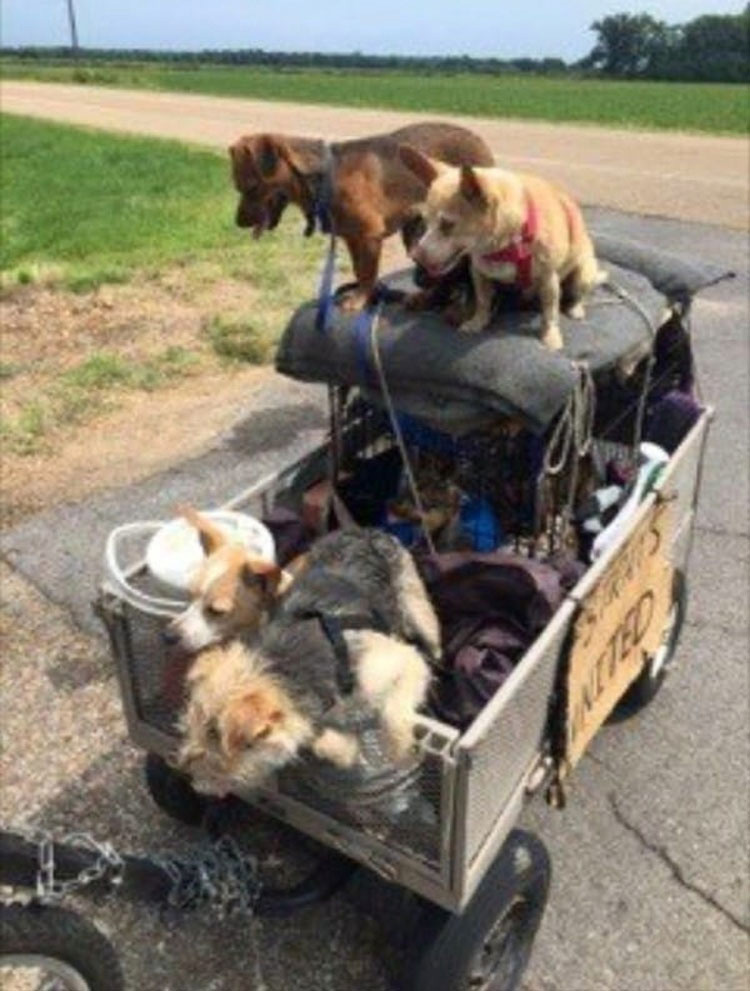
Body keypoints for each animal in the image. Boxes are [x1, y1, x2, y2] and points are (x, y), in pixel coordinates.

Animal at [178, 528, 440, 800]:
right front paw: (340, 748)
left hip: (418, 607)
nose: (184, 774)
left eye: (217, 737)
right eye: (190, 724)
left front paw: (400, 750)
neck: (285, 667)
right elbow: (324, 741)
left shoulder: (402, 660)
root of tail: (360, 530)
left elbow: (394, 713)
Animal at [232, 123, 496, 310]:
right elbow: (359, 270)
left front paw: (360, 299)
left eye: (251, 187)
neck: (325, 177)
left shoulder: (369, 236)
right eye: (239, 188)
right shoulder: (352, 237)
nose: (238, 223)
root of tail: (479, 140)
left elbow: (368, 273)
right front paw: (363, 293)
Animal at [400, 145, 604, 350]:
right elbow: (482, 301)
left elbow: (549, 312)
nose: (416, 255)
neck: (504, 245)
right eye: (425, 223)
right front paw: (477, 323)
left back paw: (576, 309)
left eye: (447, 225)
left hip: (583, 275)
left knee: (577, 295)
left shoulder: (548, 280)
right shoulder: (479, 274)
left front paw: (550, 337)